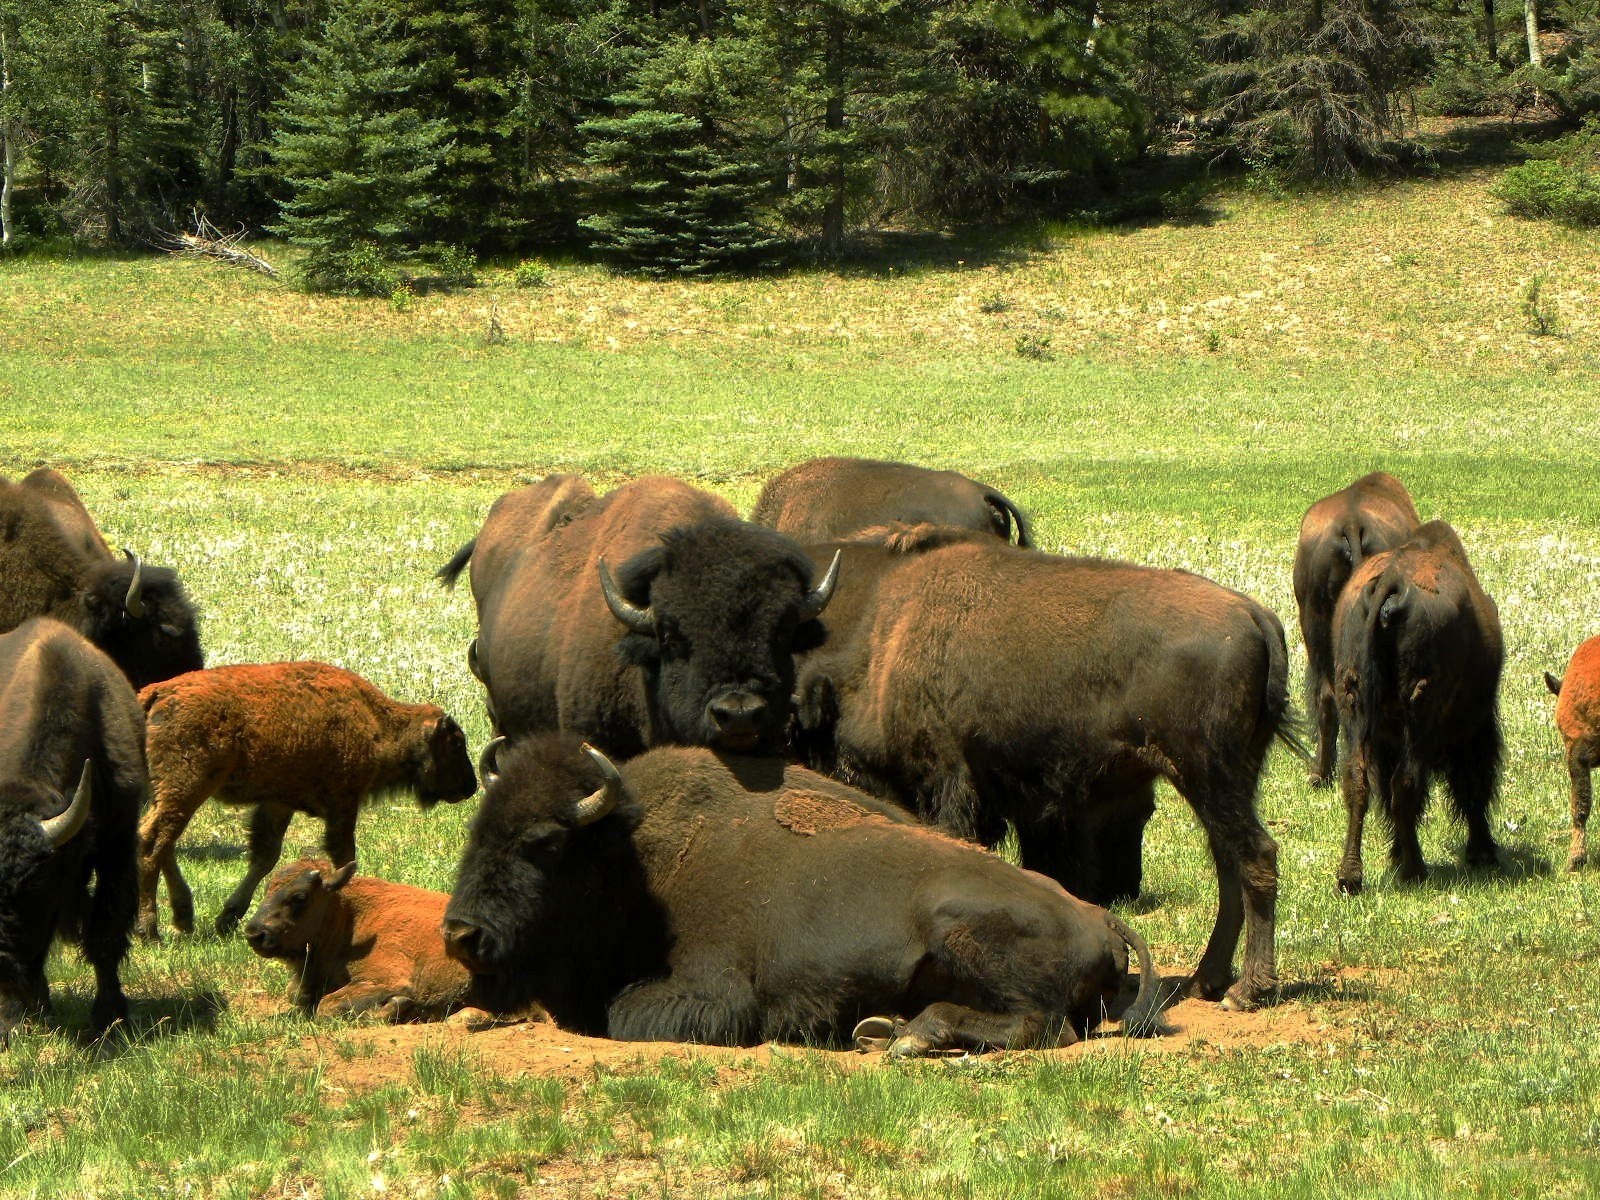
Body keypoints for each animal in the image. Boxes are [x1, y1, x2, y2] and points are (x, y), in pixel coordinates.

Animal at [442, 735, 1165, 1054]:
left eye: (543, 843)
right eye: (476, 829)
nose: (460, 934)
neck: (631, 860)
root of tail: (1098, 917)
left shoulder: (714, 997)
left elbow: (628, 1015)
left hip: (961, 929)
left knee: (1042, 1024)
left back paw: (913, 1036)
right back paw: (885, 1029)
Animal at [788, 525, 1298, 1011]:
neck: (889, 640)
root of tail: (1254, 614)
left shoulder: (950, 781)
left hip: (1206, 776)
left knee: (1255, 856)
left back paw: (1247, 991)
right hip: (1227, 781)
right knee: (1228, 865)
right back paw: (1205, 982)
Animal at [1331, 520, 1502, 893]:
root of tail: (1391, 581)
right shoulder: (1476, 729)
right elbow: (1474, 786)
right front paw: (1482, 851)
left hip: (1355, 710)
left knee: (1358, 783)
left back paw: (1350, 877)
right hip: (1420, 715)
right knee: (1405, 783)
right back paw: (1414, 870)